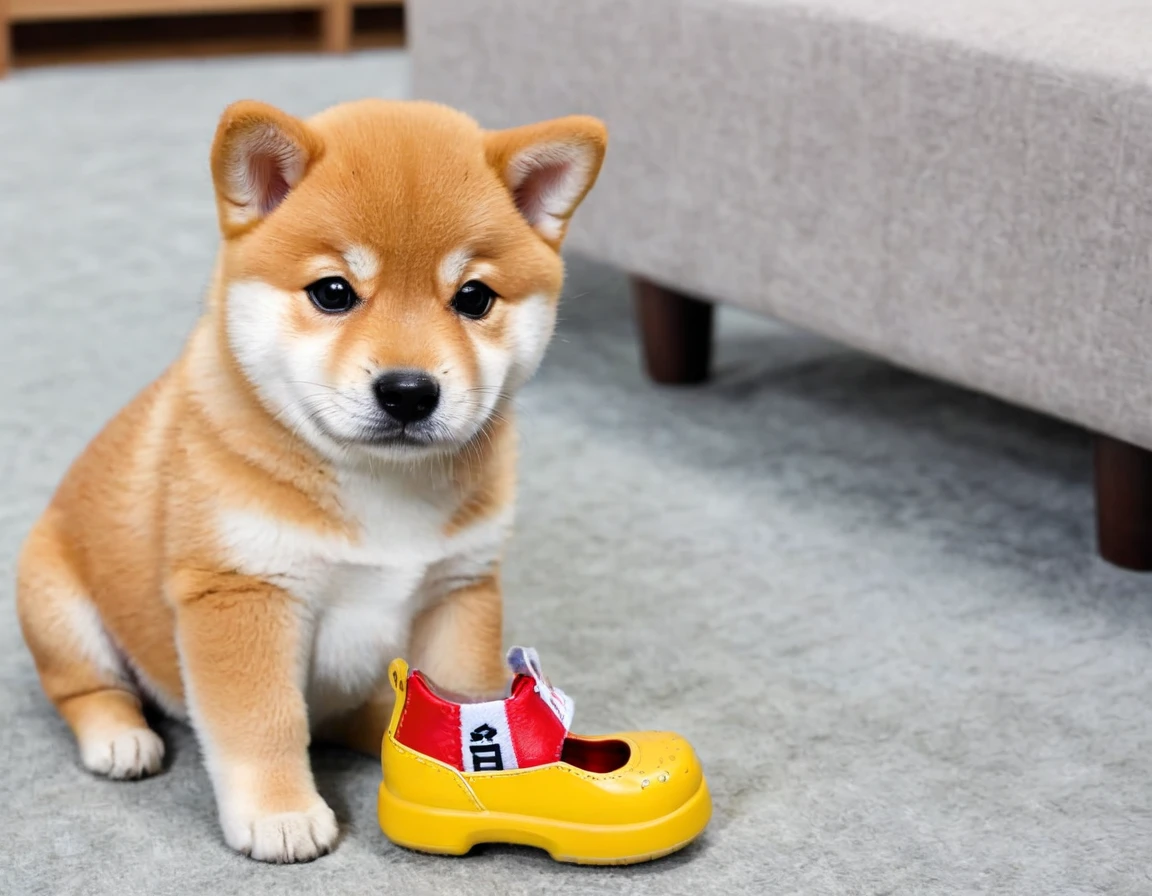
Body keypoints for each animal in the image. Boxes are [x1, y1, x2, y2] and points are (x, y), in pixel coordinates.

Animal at [18, 96, 608, 856]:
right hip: (54, 599)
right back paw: (120, 735)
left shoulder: (459, 588)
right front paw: (280, 814)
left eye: (475, 298)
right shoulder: (242, 590)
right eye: (333, 292)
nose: (410, 392)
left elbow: (460, 695)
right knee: (84, 687)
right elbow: (262, 723)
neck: (380, 484)